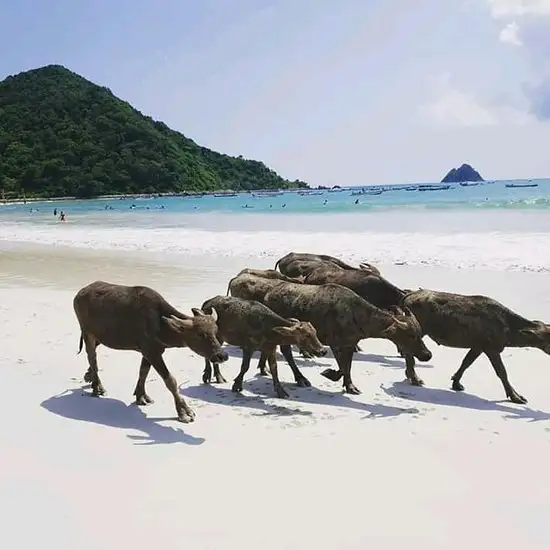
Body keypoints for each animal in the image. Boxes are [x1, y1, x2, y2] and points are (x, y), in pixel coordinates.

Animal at [73, 282, 229, 424]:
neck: (159, 323)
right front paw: (184, 411)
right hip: (87, 334)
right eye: (200, 334)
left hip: (100, 337)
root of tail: (80, 293)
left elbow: (143, 373)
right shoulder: (152, 353)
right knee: (92, 357)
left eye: (215, 332)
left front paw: (141, 396)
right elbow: (170, 381)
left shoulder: (150, 352)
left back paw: (89, 376)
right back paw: (97, 387)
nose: (222, 356)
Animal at [266, 282, 434, 394]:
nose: (427, 355)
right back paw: (300, 378)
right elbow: (342, 368)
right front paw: (329, 373)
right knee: (286, 351)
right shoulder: (334, 344)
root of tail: (269, 295)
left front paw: (350, 386)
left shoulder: (349, 344)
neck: (356, 316)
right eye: (411, 335)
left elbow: (347, 367)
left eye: (419, 333)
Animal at [404, 288, 550, 406]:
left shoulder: (478, 346)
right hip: (418, 330)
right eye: (547, 338)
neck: (508, 331)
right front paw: (516, 397)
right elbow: (502, 372)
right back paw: (414, 378)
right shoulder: (491, 347)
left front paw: (456, 383)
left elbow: (466, 363)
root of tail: (406, 297)